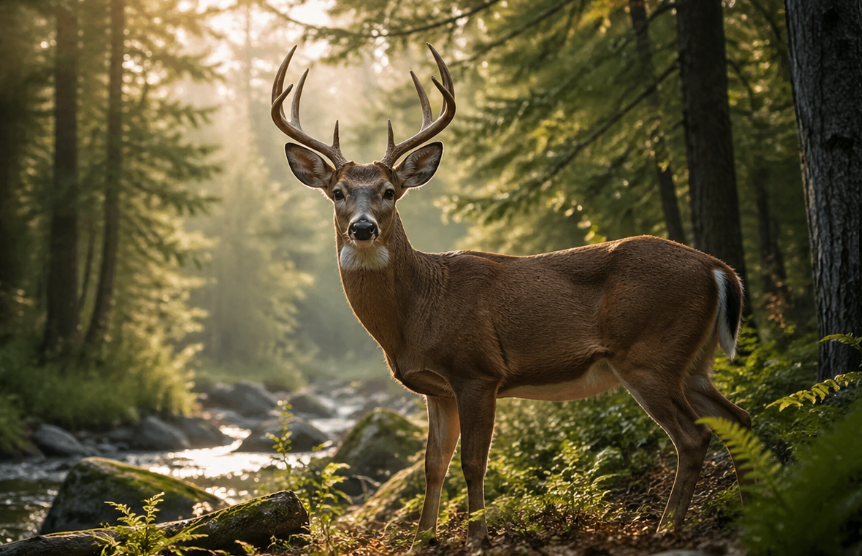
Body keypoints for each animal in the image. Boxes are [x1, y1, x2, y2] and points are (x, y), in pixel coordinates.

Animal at [271, 43, 752, 550]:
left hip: (648, 352)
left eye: (389, 191)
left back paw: (668, 526)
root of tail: (719, 269)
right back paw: (748, 508)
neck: (419, 310)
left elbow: (472, 463)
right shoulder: (436, 388)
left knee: (693, 437)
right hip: (691, 360)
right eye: (338, 192)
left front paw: (476, 538)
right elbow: (432, 466)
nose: (363, 228)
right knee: (738, 418)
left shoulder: (478, 371)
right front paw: (422, 540)